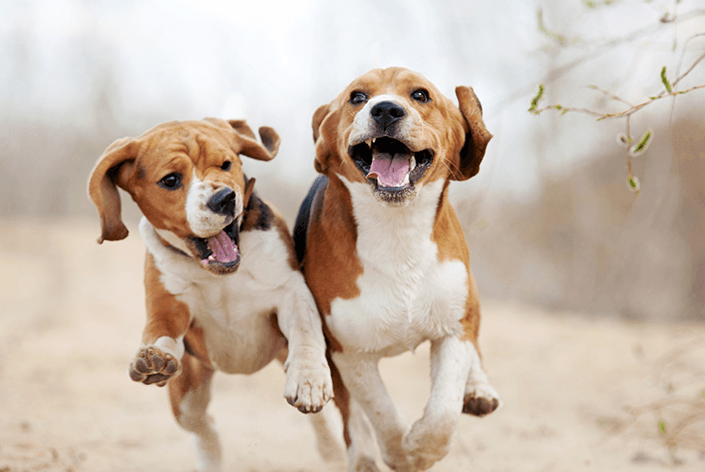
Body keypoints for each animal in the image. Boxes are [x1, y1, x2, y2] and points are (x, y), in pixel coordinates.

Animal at [87, 118, 332, 472]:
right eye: (171, 180)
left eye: (226, 164)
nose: (224, 199)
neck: (221, 273)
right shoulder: (167, 308)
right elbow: (161, 332)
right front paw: (155, 358)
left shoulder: (290, 291)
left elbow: (304, 331)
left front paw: (309, 379)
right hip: (188, 395)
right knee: (205, 429)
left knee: (327, 423)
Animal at [294, 67, 504, 472]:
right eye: (358, 97)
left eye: (420, 95)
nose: (386, 110)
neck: (397, 228)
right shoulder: (348, 351)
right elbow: (380, 414)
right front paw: (402, 454)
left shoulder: (452, 331)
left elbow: (442, 414)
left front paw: (422, 448)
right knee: (354, 421)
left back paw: (478, 387)